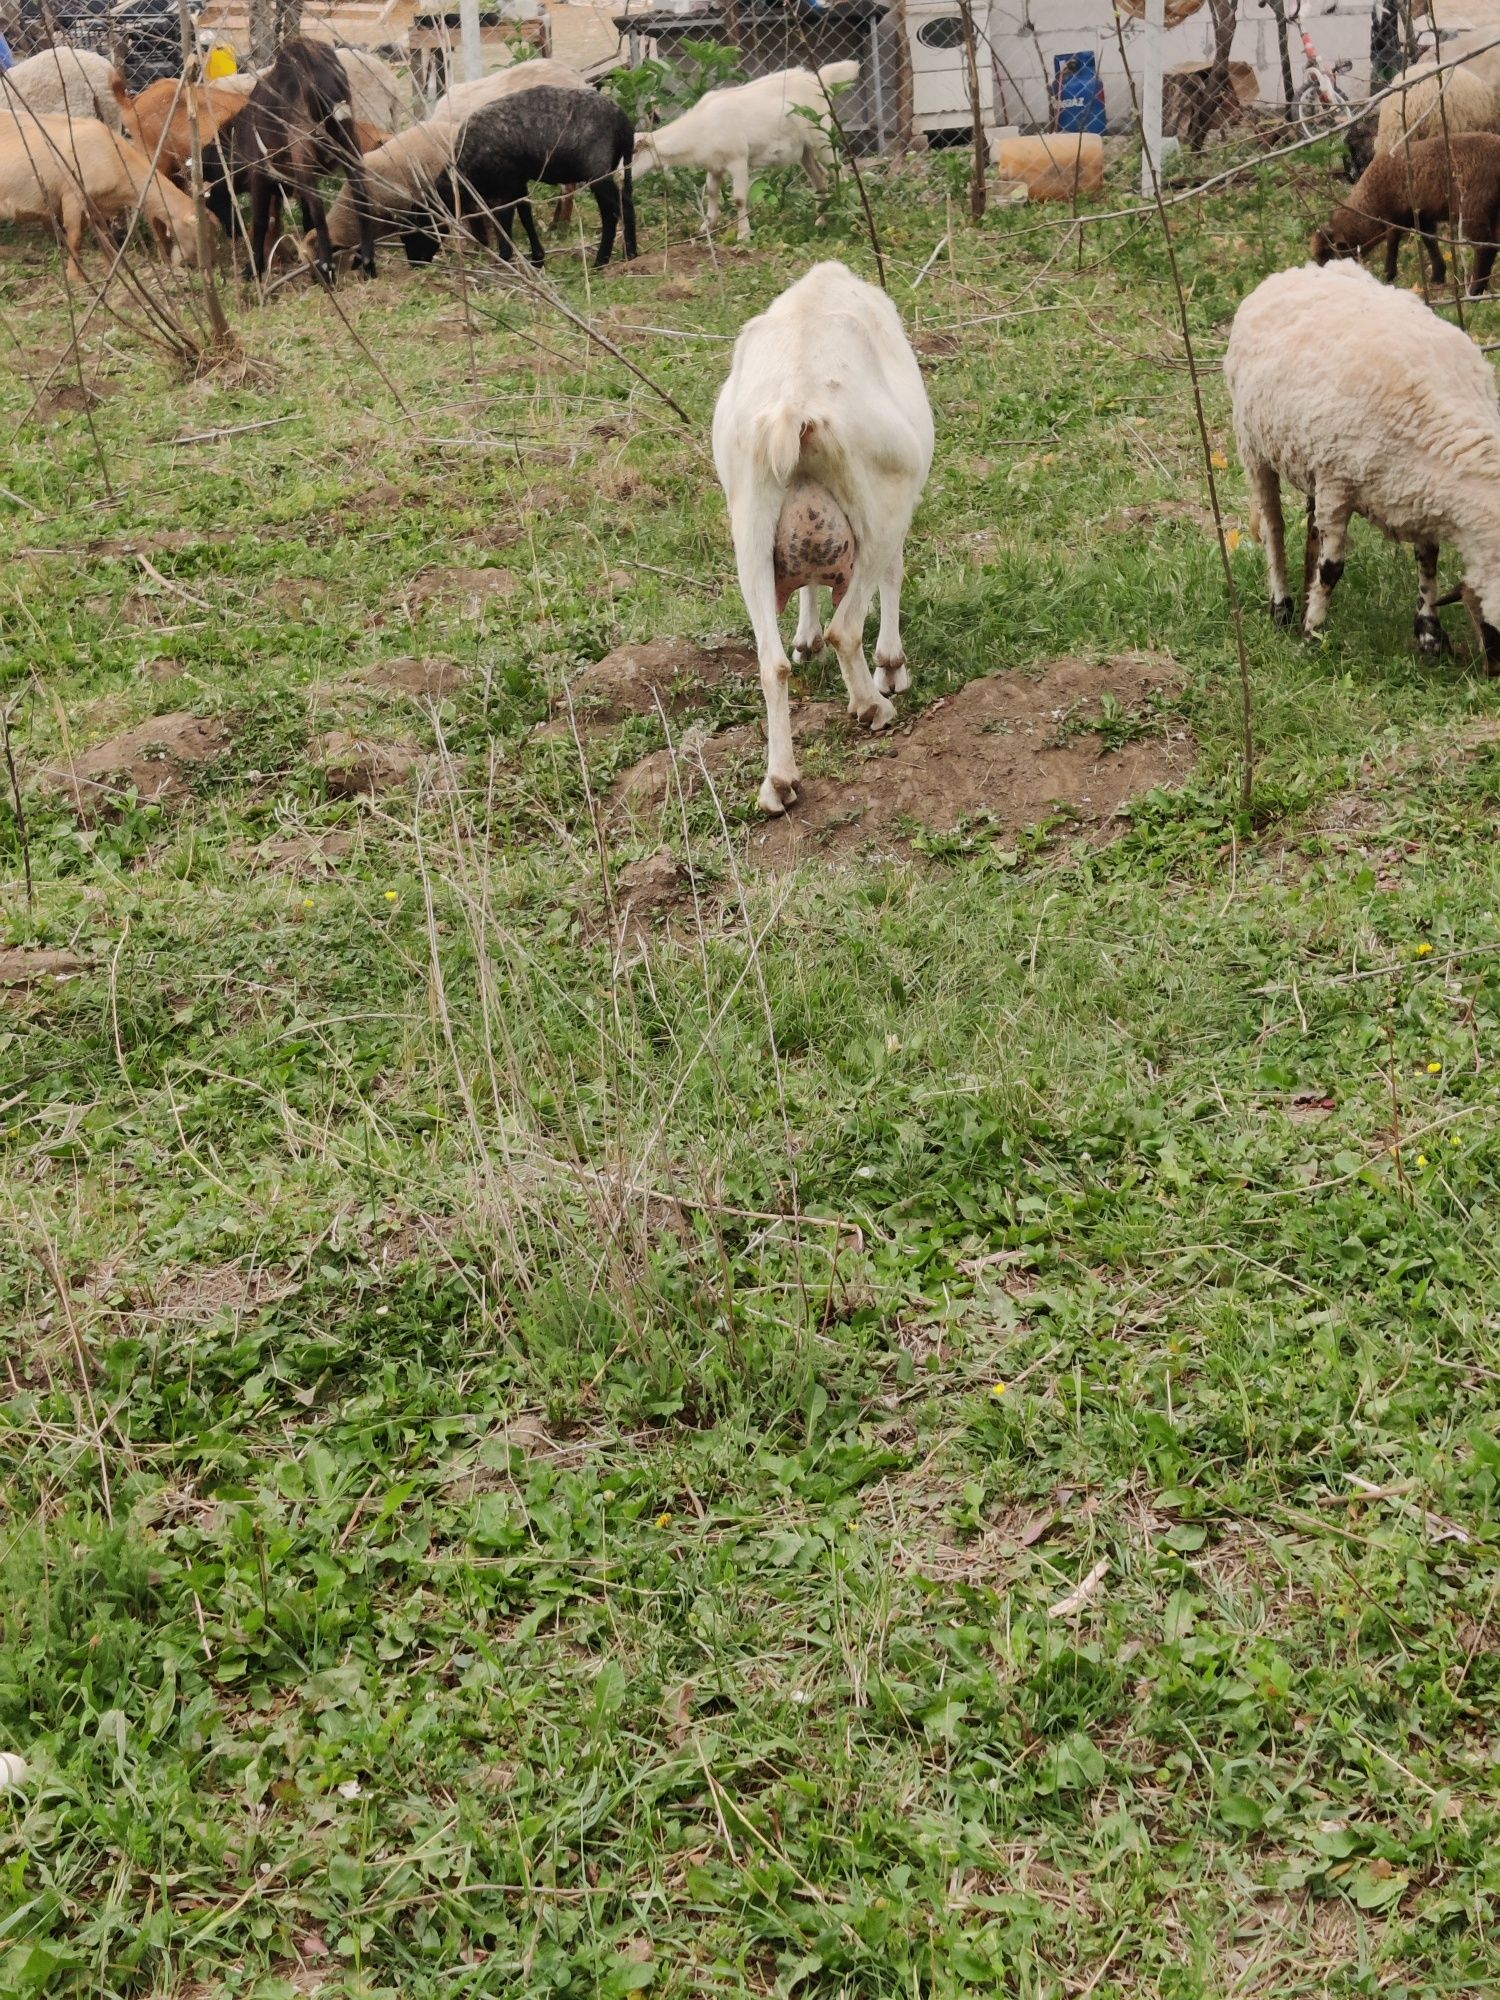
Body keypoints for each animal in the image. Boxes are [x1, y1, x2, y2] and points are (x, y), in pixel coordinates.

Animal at [632, 60, 856, 242]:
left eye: (632, 153)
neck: (701, 127)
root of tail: (818, 79)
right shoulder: (714, 165)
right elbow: (712, 192)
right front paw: (707, 226)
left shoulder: (738, 159)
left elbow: (739, 198)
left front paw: (744, 234)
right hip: (805, 150)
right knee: (820, 179)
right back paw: (821, 221)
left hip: (822, 136)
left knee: (841, 172)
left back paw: (850, 216)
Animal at [712, 264, 936, 812]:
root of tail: (796, 407)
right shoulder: (898, 501)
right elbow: (893, 576)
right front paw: (891, 667)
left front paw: (805, 638)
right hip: (878, 511)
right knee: (848, 626)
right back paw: (872, 706)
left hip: (749, 527)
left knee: (770, 663)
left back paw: (778, 782)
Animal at [1224, 254, 1500, 664]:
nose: (1495, 671)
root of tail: (1297, 271)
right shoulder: (1338, 484)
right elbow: (1332, 569)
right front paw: (1313, 634)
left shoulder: (1420, 496)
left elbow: (1428, 560)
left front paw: (1429, 635)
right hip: (1254, 445)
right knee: (1273, 528)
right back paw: (1283, 608)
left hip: (1308, 457)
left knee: (1311, 526)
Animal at [1312, 131, 1500, 296]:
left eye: (1327, 254)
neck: (1369, 202)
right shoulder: (1422, 217)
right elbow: (1430, 242)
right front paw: (1437, 277)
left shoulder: (1393, 218)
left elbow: (1392, 245)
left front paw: (1388, 276)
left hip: (1473, 206)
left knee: (1485, 247)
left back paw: (1475, 291)